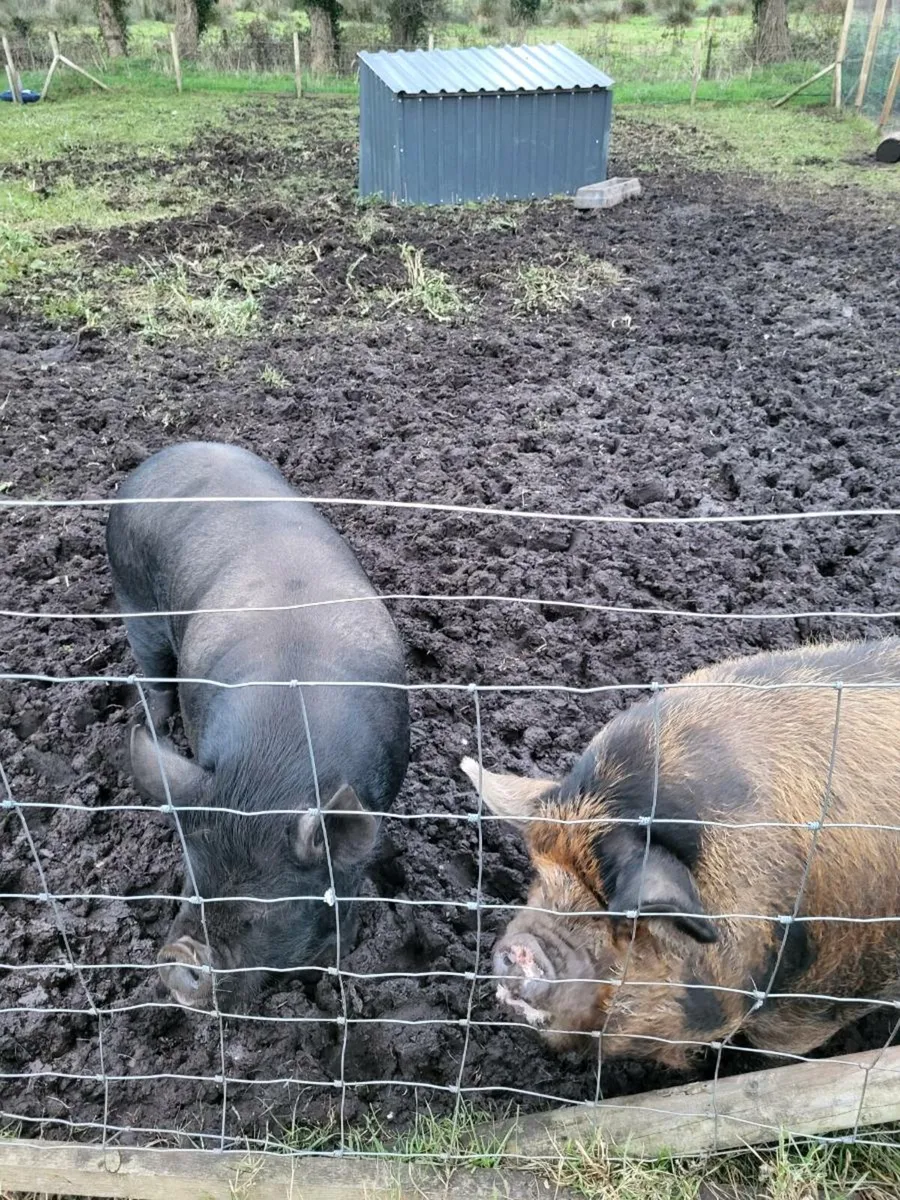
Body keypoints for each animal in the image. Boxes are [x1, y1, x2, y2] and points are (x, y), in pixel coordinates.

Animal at [106, 441, 409, 1010]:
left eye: (261, 912)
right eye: (190, 882)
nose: (179, 959)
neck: (269, 771)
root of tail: (158, 458)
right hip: (134, 603)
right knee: (154, 680)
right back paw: (152, 729)